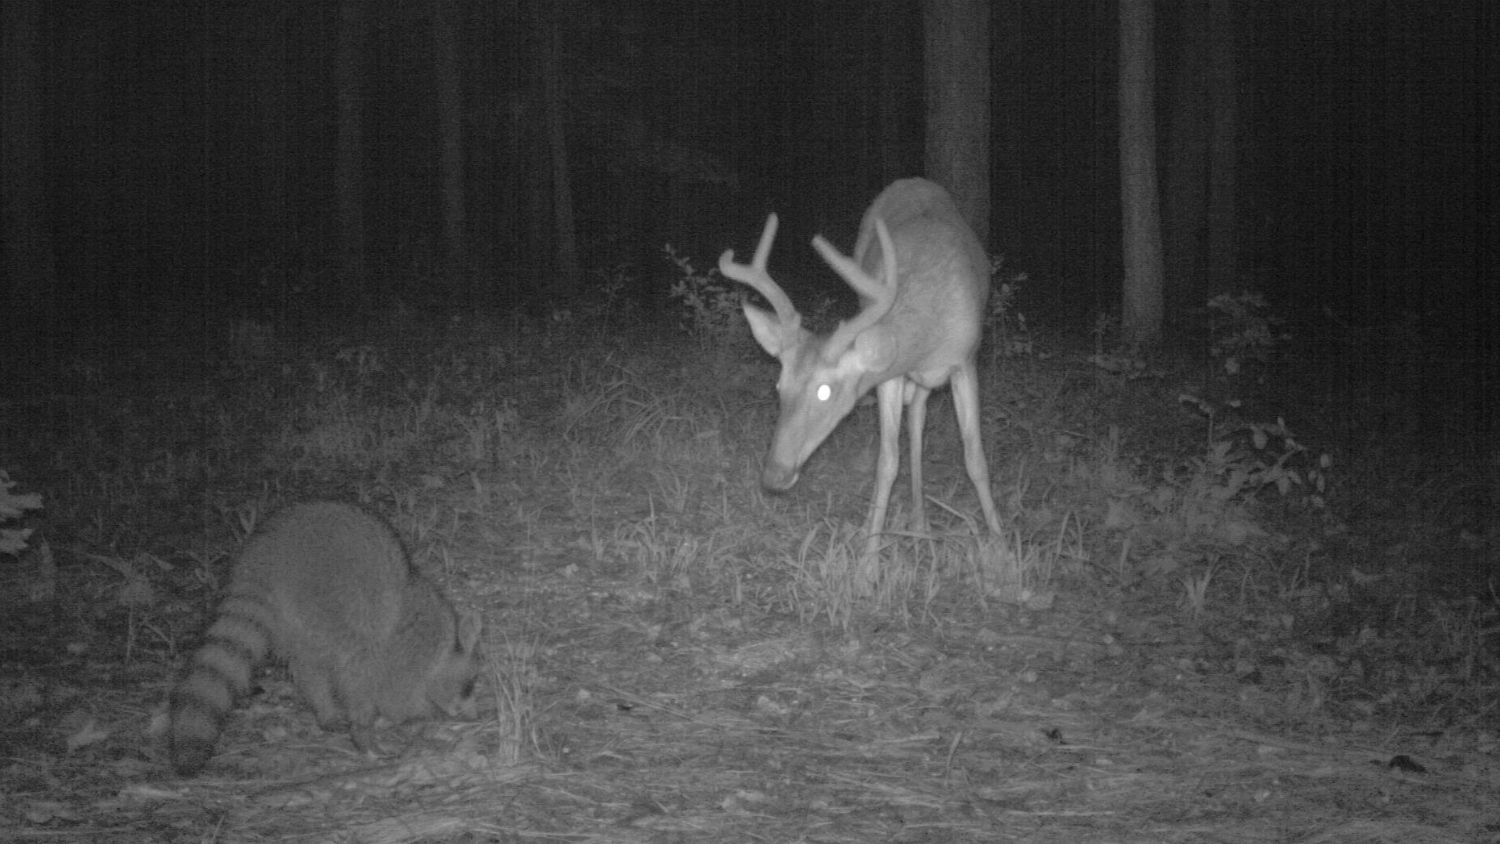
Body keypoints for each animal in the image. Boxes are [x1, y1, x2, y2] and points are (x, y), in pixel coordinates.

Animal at [172, 500, 483, 779]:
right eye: (469, 686)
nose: (474, 716)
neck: (446, 645)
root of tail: (263, 556)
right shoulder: (410, 649)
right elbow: (395, 696)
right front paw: (416, 715)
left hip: (293, 618)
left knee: (309, 666)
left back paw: (325, 708)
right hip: (333, 600)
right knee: (356, 666)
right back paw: (363, 733)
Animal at [717, 176, 1002, 560]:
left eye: (825, 390)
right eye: (779, 386)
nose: (774, 476)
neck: (930, 329)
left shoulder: (967, 361)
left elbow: (976, 460)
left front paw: (1003, 550)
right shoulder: (890, 377)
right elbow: (887, 462)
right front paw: (869, 560)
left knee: (918, 420)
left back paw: (920, 525)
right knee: (915, 421)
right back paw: (916, 524)